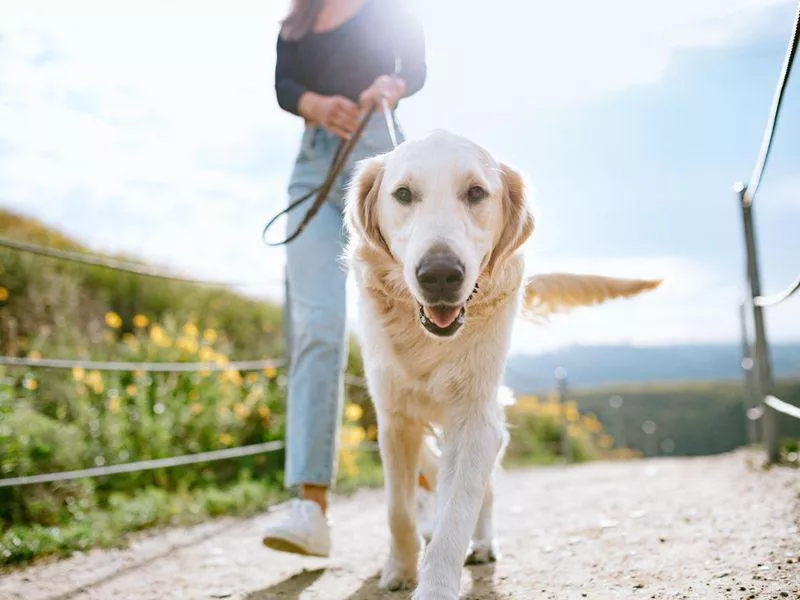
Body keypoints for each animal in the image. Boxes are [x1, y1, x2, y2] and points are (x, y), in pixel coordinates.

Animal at [340, 131, 660, 600]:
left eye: (476, 193)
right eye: (403, 194)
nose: (440, 275)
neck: (429, 342)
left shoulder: (476, 420)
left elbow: (458, 512)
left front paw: (436, 585)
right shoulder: (395, 418)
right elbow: (397, 507)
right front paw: (399, 567)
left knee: (482, 494)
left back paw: (483, 543)